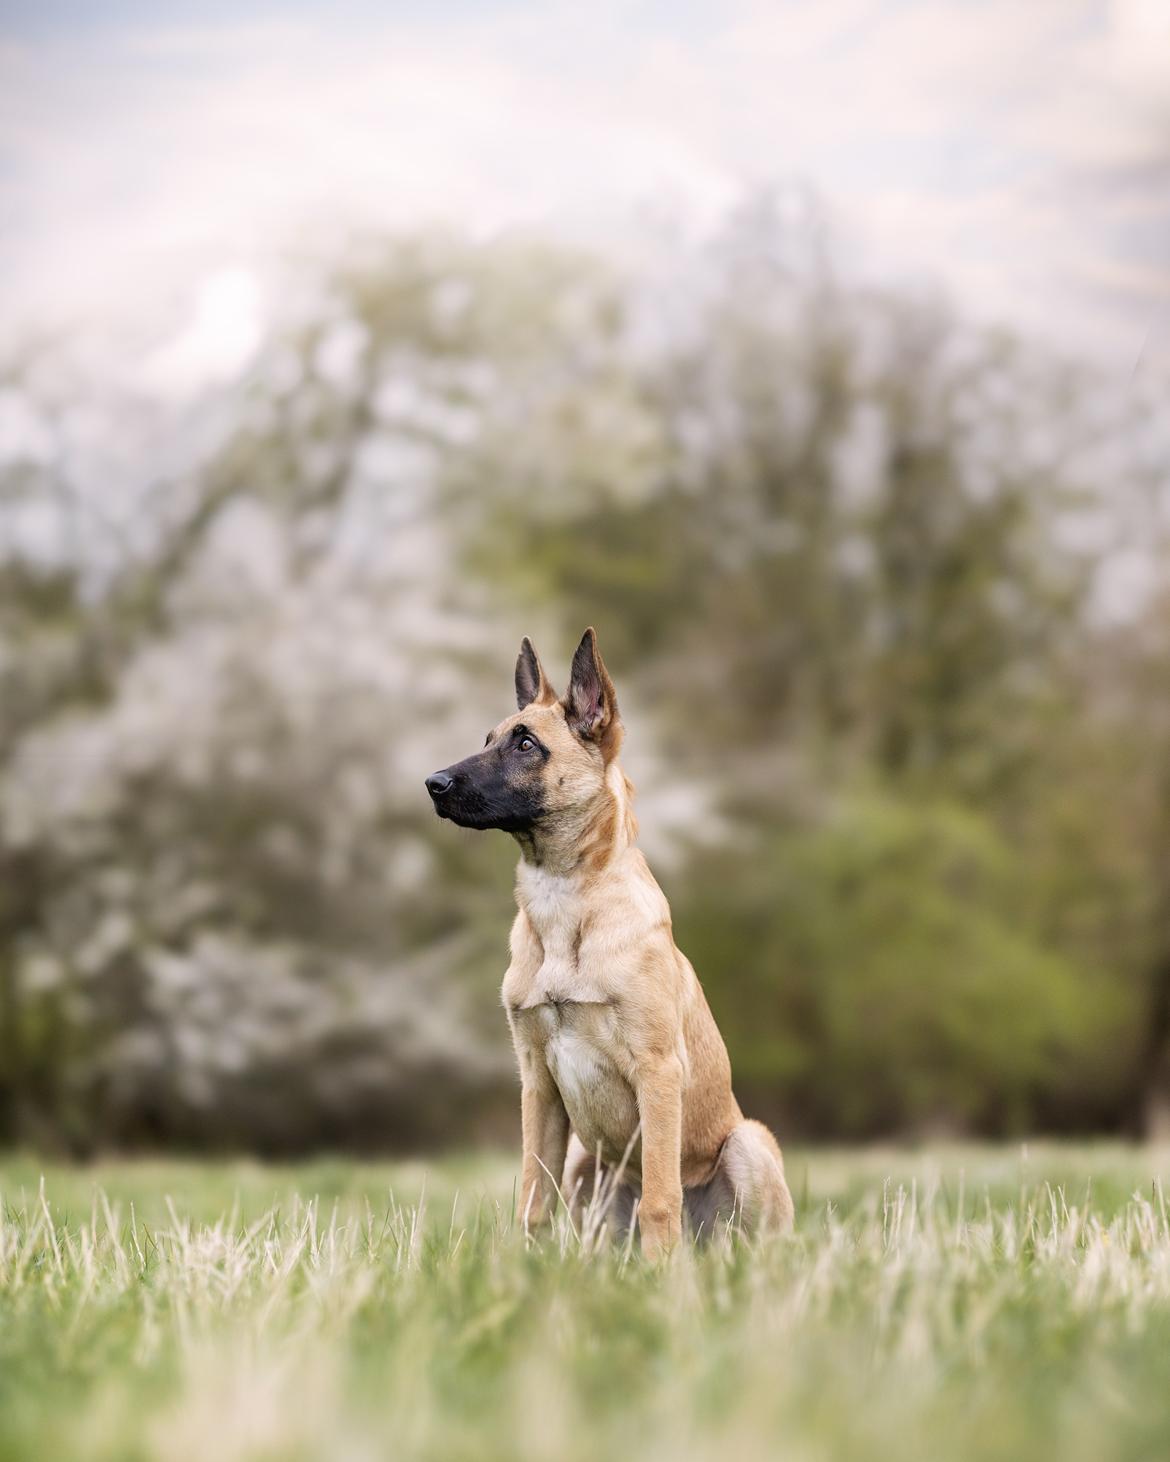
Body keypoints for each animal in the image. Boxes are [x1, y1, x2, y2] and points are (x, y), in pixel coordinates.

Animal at [424, 628, 795, 1257]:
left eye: (526, 744)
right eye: (489, 740)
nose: (433, 785)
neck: (565, 905)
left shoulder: (658, 1072)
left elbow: (661, 1201)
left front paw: (662, 1273)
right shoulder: (538, 1085)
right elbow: (532, 1198)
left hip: (747, 1142)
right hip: (584, 1164)